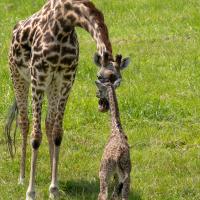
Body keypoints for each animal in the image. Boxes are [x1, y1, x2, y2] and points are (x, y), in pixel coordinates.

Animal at [5, 0, 130, 198]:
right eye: (99, 78)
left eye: (118, 81)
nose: (104, 105)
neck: (64, 23)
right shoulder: (38, 77)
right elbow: (35, 136)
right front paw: (31, 192)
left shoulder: (66, 78)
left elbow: (57, 132)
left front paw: (54, 188)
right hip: (18, 76)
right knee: (24, 123)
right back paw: (22, 178)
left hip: (52, 85)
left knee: (48, 123)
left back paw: (51, 174)